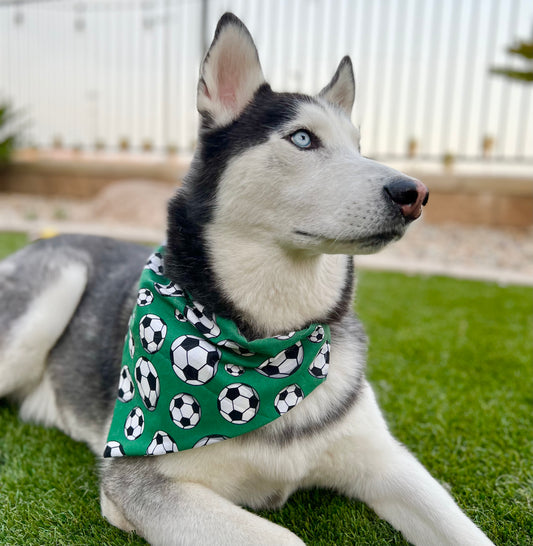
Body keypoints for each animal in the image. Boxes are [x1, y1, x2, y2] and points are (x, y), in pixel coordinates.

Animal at [0, 12, 492, 544]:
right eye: (303, 138)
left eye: (359, 147)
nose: (415, 194)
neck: (273, 343)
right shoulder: (138, 482)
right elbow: (286, 537)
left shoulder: (386, 462)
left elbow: (462, 528)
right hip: (54, 291)